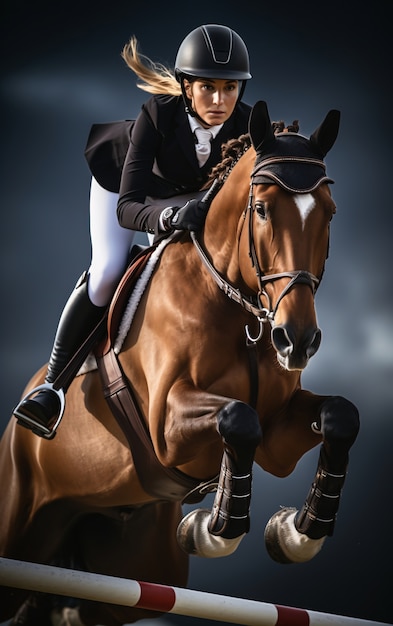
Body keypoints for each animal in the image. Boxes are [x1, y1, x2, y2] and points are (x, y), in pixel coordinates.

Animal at [0, 102, 358, 624]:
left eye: (329, 213)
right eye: (261, 209)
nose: (297, 340)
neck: (235, 309)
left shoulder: (278, 437)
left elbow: (338, 415)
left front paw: (294, 532)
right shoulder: (167, 425)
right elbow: (239, 419)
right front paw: (212, 528)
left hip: (131, 560)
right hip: (22, 520)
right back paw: (39, 406)